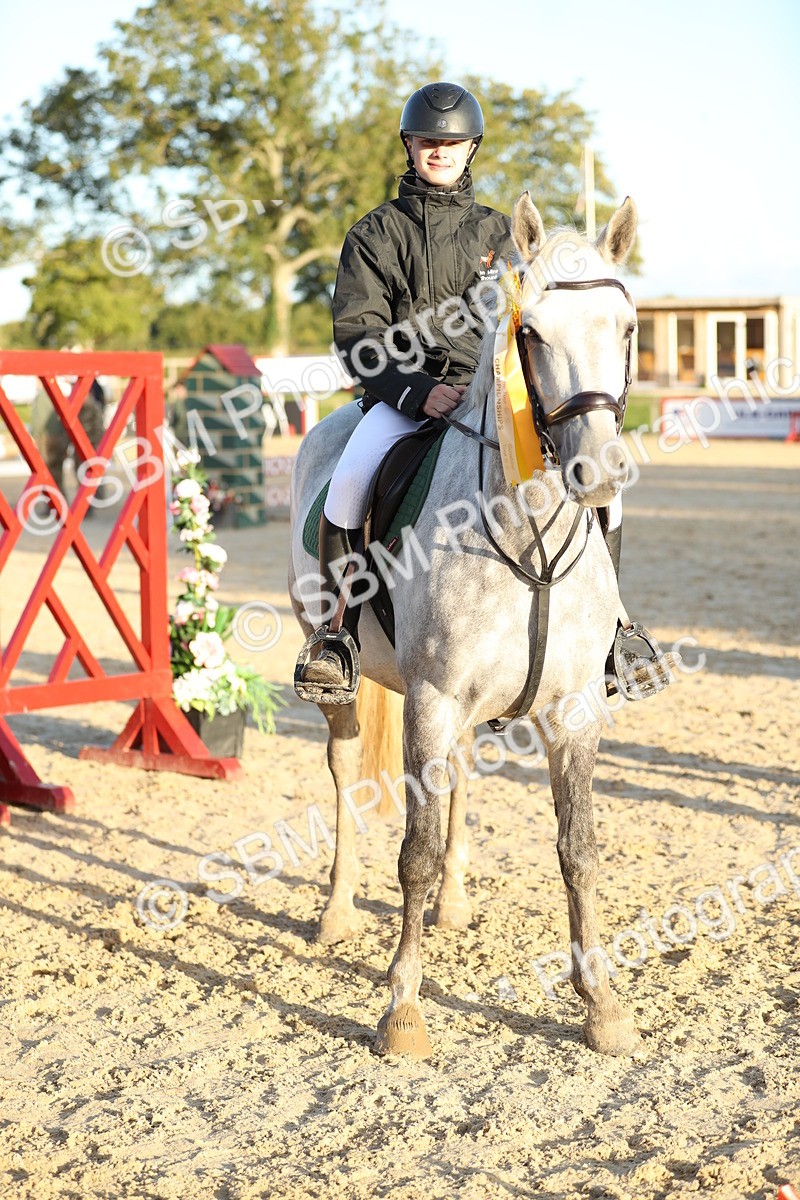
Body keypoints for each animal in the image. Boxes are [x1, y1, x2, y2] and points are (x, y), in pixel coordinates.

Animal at [289, 192, 644, 1059]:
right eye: (531, 332)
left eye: (625, 327)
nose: (598, 473)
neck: (530, 539)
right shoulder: (432, 697)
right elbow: (412, 853)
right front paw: (403, 1008)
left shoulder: (571, 709)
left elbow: (579, 849)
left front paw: (602, 1006)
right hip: (352, 687)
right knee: (346, 776)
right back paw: (337, 912)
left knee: (456, 780)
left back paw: (452, 904)